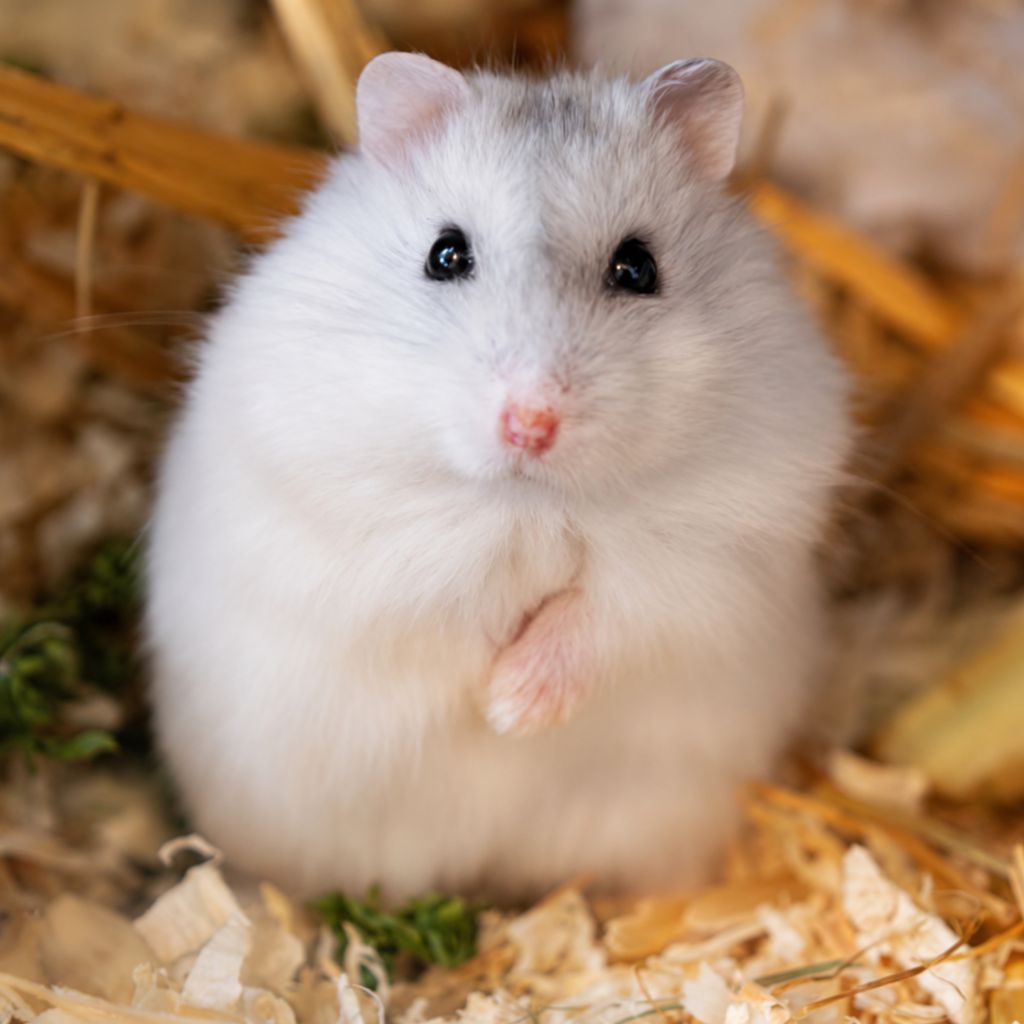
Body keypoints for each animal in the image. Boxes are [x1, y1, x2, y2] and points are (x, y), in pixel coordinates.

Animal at [146, 53, 850, 902]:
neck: (528, 500)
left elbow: (609, 612)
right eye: (445, 255)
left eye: (638, 266)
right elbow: (444, 599)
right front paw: (492, 701)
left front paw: (514, 709)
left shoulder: (710, 556)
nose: (531, 423)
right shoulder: (363, 533)